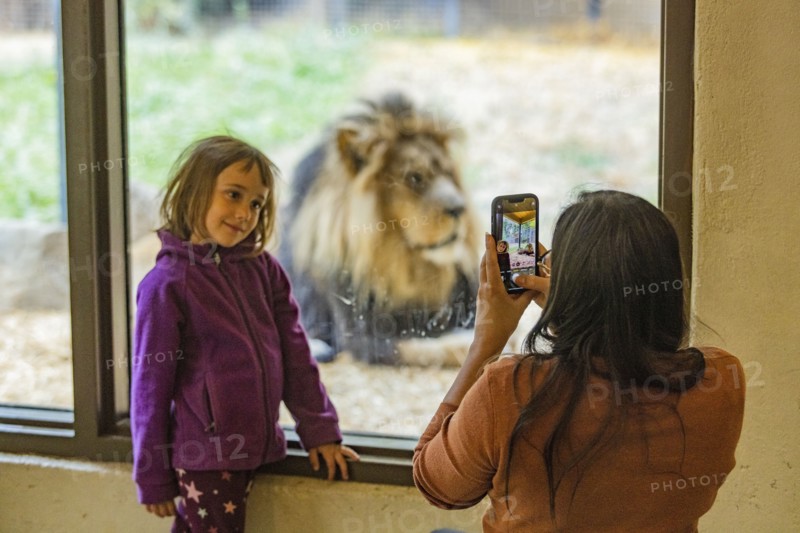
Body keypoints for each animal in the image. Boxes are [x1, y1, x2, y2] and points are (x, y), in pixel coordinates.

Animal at [279, 93, 481, 366]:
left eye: (448, 173)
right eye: (414, 177)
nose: (461, 208)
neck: (405, 266)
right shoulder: (363, 336)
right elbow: (436, 347)